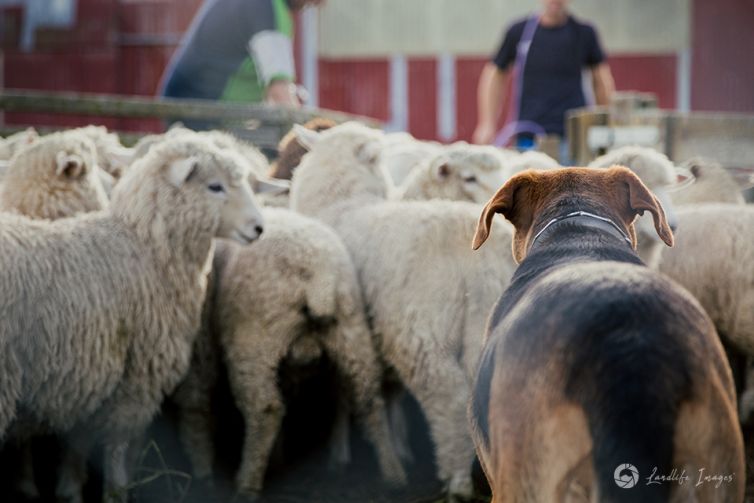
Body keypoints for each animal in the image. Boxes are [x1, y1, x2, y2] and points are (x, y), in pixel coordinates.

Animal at [0, 134, 264, 503]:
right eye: (215, 186)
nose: (259, 228)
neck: (144, 246)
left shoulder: (86, 379)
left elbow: (79, 445)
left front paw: (69, 490)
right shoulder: (136, 377)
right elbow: (117, 448)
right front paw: (116, 491)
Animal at [173, 208, 406, 496]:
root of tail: (319, 275)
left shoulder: (202, 346)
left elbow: (196, 405)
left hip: (254, 343)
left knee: (266, 410)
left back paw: (247, 483)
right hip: (352, 333)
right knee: (370, 399)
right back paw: (393, 474)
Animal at [288, 121, 516, 500]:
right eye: (469, 178)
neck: (343, 203)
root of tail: (481, 258)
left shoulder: (349, 328)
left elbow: (353, 392)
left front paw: (346, 455)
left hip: (419, 330)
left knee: (449, 397)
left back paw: (455, 479)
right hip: (486, 319)